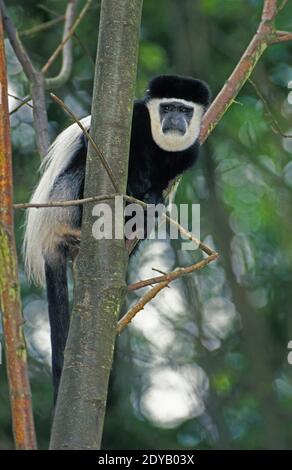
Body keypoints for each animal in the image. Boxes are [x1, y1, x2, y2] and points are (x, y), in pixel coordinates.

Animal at [22, 74, 210, 400]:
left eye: (185, 110)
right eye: (167, 107)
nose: (175, 120)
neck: (160, 146)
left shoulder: (188, 154)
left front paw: (152, 198)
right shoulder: (135, 120)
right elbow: (91, 144)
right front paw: (136, 184)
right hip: (61, 203)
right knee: (81, 167)